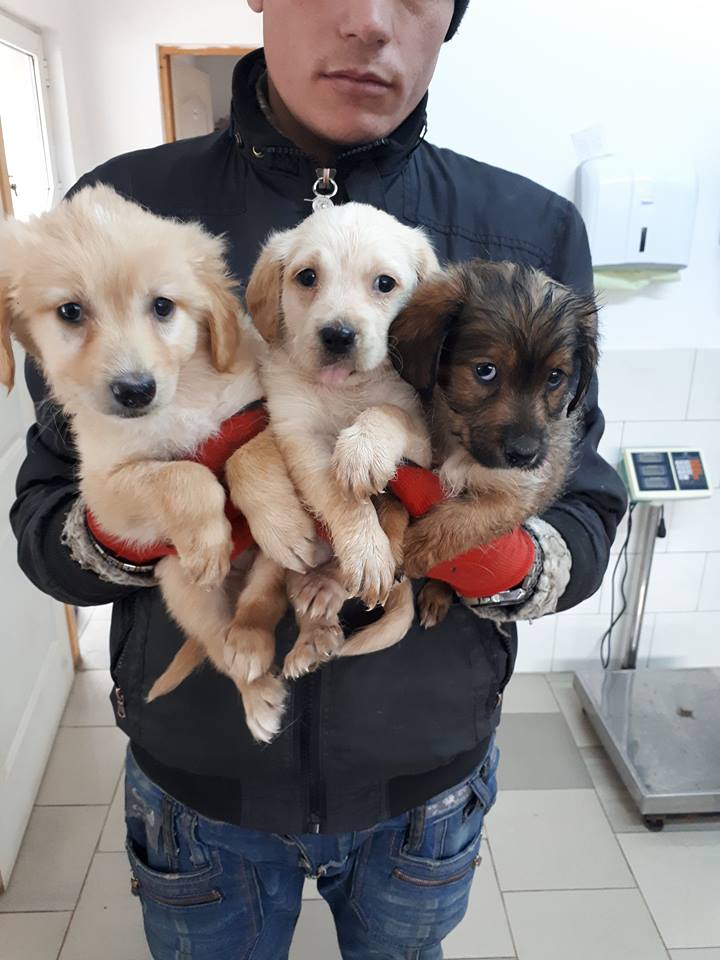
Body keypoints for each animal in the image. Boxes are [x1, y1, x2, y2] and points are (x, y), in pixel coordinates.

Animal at [0, 188, 316, 744]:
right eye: (70, 311)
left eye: (163, 307)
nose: (135, 390)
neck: (177, 402)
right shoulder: (105, 489)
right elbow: (181, 474)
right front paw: (207, 541)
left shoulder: (256, 414)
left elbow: (244, 456)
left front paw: (279, 524)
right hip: (181, 588)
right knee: (216, 642)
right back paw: (253, 687)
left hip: (263, 571)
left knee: (260, 605)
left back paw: (252, 641)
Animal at [390, 258, 600, 628]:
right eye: (486, 371)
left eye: (555, 378)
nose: (525, 454)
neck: (462, 447)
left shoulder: (518, 492)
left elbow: (465, 521)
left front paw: (413, 550)